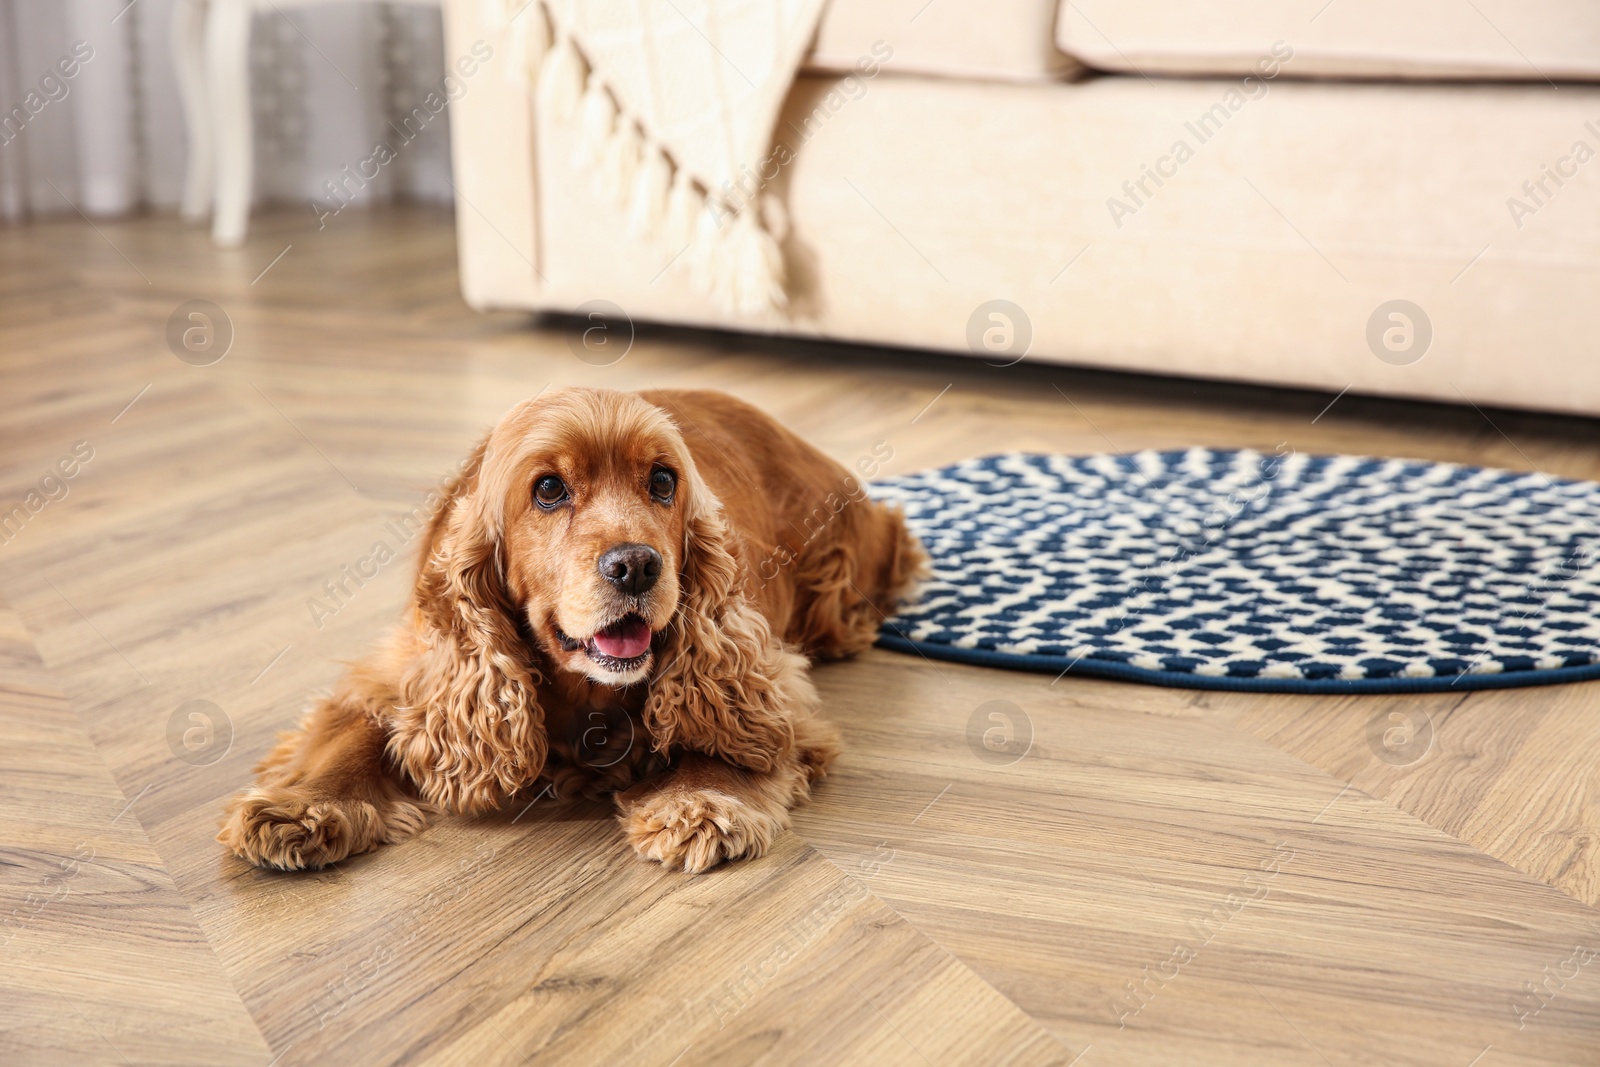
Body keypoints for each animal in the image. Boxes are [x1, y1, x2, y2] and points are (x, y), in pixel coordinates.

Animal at [222, 388, 928, 870]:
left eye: (663, 480)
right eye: (549, 489)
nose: (637, 565)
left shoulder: (769, 676)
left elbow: (724, 733)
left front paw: (701, 799)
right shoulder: (412, 665)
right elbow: (354, 731)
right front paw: (304, 805)